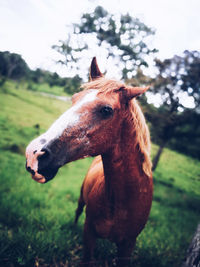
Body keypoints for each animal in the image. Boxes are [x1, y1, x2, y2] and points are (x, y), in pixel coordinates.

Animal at [25, 57, 153, 266]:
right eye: (74, 98)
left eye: (107, 110)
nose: (33, 154)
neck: (121, 202)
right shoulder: (89, 234)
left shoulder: (127, 246)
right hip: (80, 198)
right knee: (77, 211)